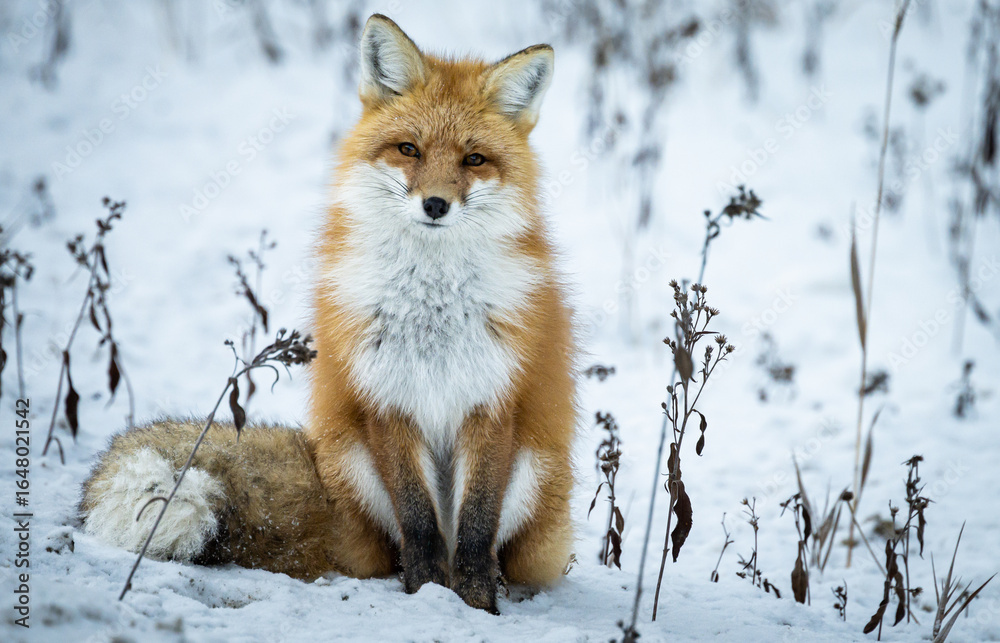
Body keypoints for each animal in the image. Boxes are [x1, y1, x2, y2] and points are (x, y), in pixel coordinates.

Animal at [80, 14, 576, 614]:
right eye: (409, 149)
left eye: (473, 159)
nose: (435, 205)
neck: (432, 304)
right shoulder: (385, 397)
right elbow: (419, 523)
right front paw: (430, 595)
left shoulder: (492, 398)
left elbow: (478, 528)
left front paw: (476, 605)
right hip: (353, 460)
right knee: (396, 548)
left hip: (537, 471)